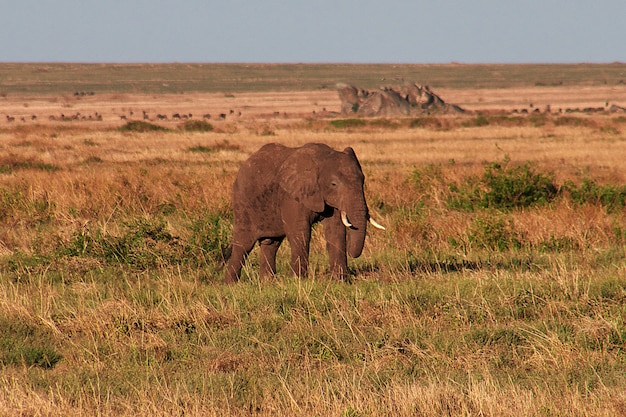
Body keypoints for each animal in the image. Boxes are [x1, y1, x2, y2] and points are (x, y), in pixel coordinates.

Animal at [224, 141, 380, 282]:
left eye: (363, 181)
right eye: (334, 184)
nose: (353, 254)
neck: (322, 158)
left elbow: (336, 231)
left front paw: (339, 281)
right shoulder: (291, 196)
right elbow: (300, 231)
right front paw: (297, 281)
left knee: (271, 243)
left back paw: (267, 283)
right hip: (242, 202)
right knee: (243, 244)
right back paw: (231, 284)